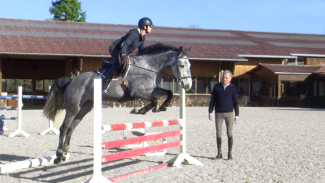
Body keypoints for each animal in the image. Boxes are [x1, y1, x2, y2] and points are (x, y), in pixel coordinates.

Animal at [42, 43, 190, 164]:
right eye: (182, 65)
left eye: (189, 65)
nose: (187, 85)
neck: (149, 67)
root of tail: (72, 80)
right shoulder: (139, 92)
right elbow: (154, 100)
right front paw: (140, 110)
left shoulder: (152, 89)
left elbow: (168, 92)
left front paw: (162, 107)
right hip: (73, 108)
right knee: (64, 128)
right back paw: (58, 156)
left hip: (85, 108)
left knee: (71, 128)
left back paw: (65, 153)